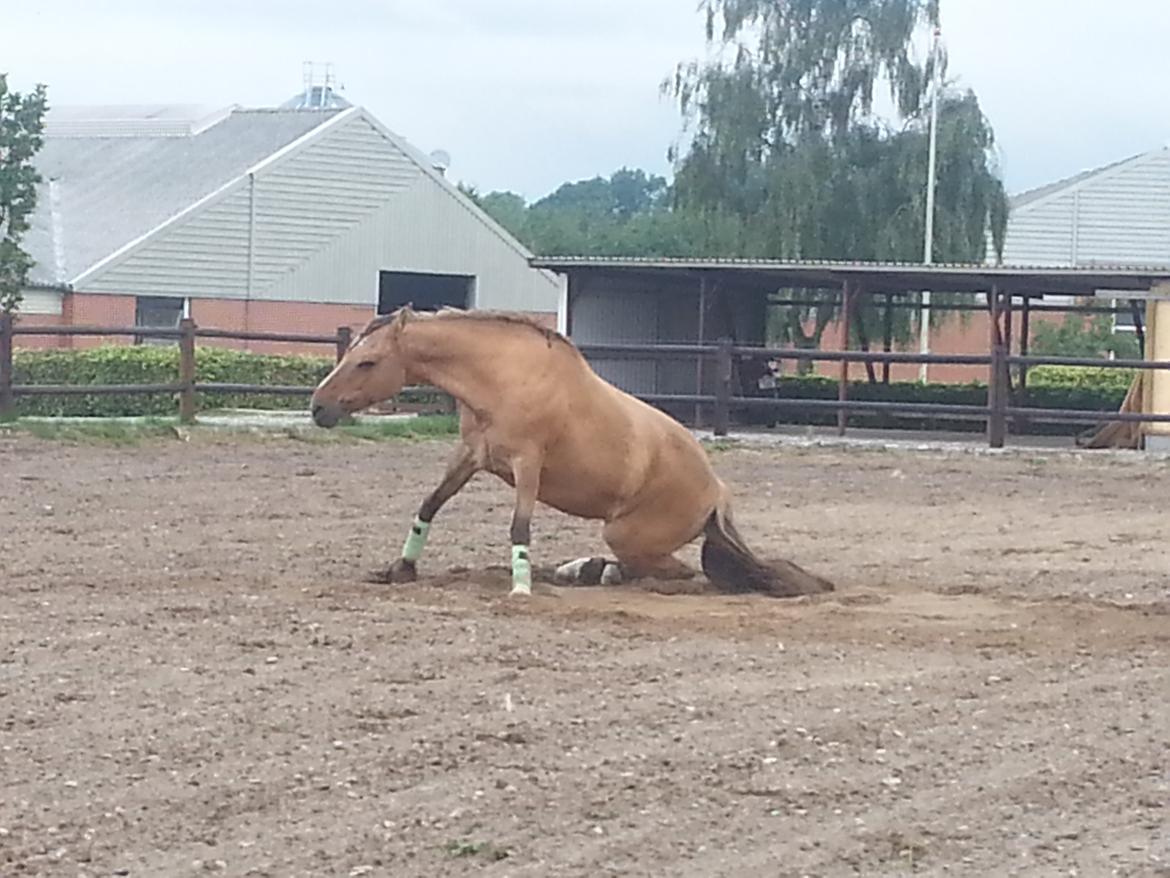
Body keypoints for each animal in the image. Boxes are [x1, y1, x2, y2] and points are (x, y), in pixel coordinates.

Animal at [308, 306, 833, 604]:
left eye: (368, 362)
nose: (317, 408)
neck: (504, 375)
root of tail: (716, 492)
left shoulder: (528, 465)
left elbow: (519, 528)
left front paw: (520, 589)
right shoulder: (472, 456)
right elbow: (428, 506)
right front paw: (401, 569)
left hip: (624, 532)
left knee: (676, 572)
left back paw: (599, 573)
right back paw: (585, 570)